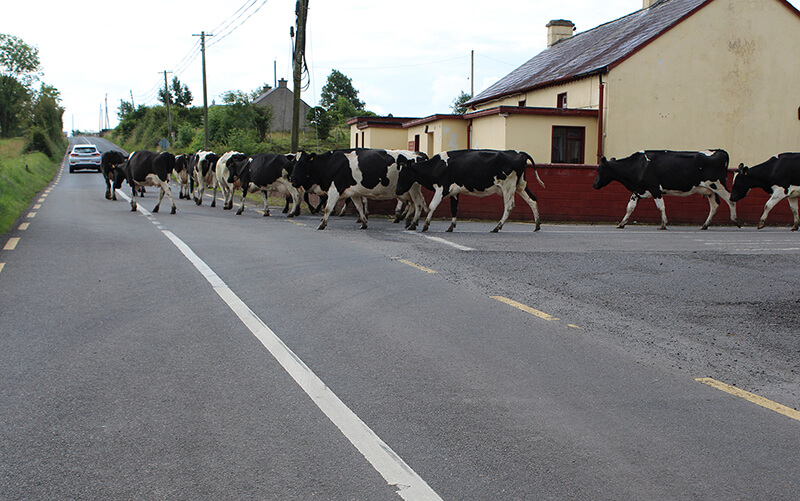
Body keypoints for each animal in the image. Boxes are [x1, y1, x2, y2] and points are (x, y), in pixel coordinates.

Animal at [292, 146, 428, 229]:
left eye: (303, 163)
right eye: (293, 163)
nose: (292, 179)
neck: (330, 163)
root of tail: (417, 153)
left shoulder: (335, 188)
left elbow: (328, 208)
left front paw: (322, 224)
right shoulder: (353, 192)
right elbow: (359, 207)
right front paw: (363, 223)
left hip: (412, 188)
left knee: (418, 203)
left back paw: (412, 223)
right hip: (409, 190)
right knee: (416, 202)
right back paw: (409, 220)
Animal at [396, 148, 544, 232]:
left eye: (402, 174)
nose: (397, 191)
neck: (437, 166)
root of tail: (519, 153)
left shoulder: (442, 188)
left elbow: (432, 206)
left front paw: (426, 226)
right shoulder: (454, 192)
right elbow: (454, 209)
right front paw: (451, 227)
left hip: (508, 186)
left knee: (509, 206)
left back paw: (497, 227)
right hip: (521, 185)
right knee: (533, 200)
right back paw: (537, 225)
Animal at [592, 149, 740, 229]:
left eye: (599, 170)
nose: (594, 185)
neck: (638, 166)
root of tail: (720, 151)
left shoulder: (654, 188)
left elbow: (660, 206)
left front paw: (663, 224)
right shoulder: (637, 190)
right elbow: (630, 207)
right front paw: (621, 223)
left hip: (718, 185)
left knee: (731, 200)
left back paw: (735, 220)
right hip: (710, 190)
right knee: (715, 206)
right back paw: (705, 225)